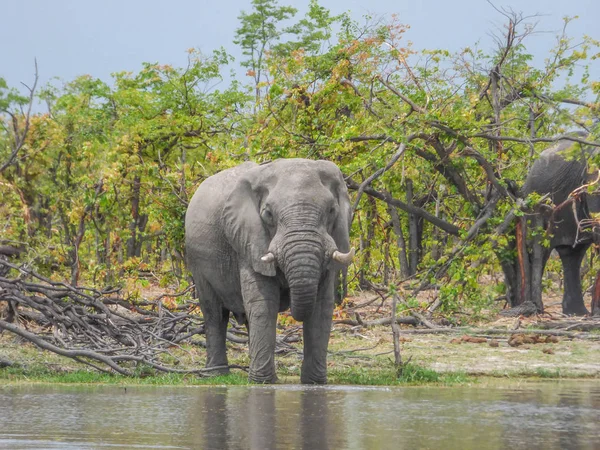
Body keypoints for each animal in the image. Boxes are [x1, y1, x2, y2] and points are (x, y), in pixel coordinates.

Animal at [185, 158, 354, 384]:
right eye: (268, 214)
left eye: (332, 211)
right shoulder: (248, 241)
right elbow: (263, 303)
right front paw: (263, 382)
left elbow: (322, 306)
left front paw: (314, 383)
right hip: (197, 261)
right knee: (214, 312)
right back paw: (215, 374)